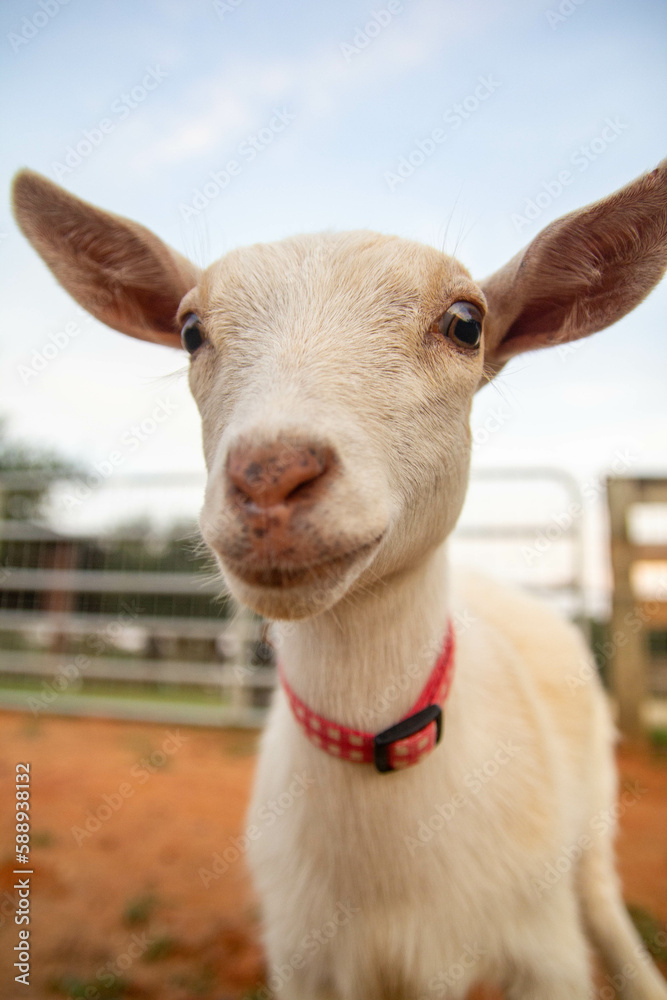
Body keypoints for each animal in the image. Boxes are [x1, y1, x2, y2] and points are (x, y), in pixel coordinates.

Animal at [11, 161, 667, 999]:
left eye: (464, 322)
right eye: (190, 331)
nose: (270, 476)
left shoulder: (543, 955)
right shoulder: (305, 962)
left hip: (590, 817)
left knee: (604, 901)